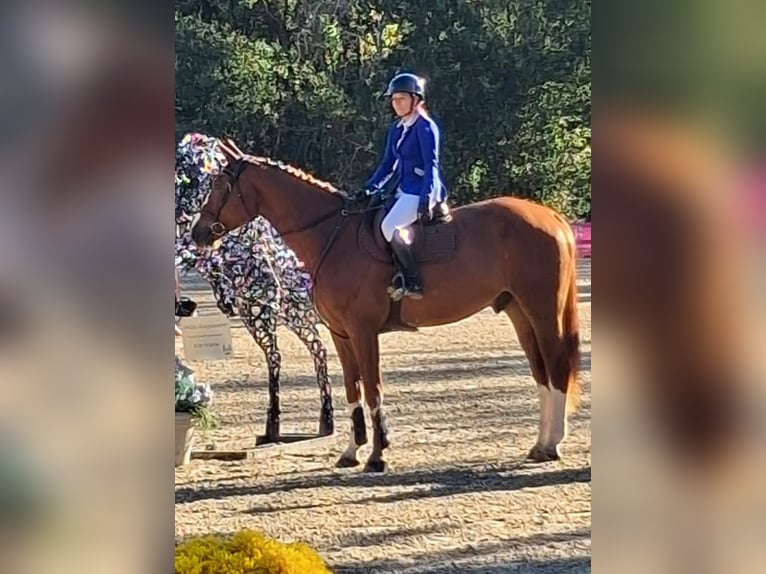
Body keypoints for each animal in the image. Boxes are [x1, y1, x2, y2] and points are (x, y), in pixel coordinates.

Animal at [175, 134, 334, 441]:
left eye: (220, 185)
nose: (197, 231)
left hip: (262, 314)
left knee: (278, 355)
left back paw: (274, 422)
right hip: (292, 314)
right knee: (317, 350)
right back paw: (325, 417)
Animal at [191, 139, 581, 473]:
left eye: (221, 186)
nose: (198, 232)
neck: (332, 235)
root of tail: (550, 216)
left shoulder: (363, 332)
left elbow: (373, 387)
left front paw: (377, 455)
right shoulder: (341, 335)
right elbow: (353, 389)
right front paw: (352, 451)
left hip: (541, 310)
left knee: (557, 367)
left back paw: (554, 445)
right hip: (519, 313)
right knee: (541, 372)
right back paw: (539, 445)